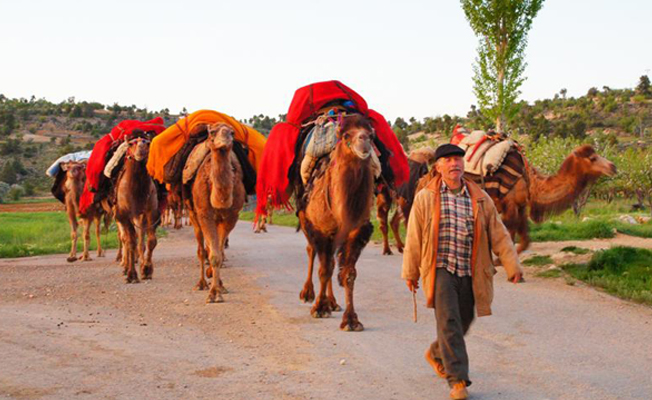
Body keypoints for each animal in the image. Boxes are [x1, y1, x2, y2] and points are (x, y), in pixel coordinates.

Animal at [114, 135, 160, 283]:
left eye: (148, 143)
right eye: (131, 144)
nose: (141, 149)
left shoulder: (150, 212)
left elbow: (150, 241)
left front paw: (146, 270)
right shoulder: (126, 215)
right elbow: (131, 242)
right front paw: (132, 275)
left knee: (139, 241)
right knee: (126, 239)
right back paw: (125, 267)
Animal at [186, 123, 245, 303]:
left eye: (232, 132)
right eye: (212, 132)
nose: (225, 140)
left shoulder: (231, 217)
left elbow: (218, 253)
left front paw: (219, 289)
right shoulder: (205, 214)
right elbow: (213, 254)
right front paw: (212, 294)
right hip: (193, 215)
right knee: (200, 248)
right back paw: (201, 284)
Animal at [298, 115, 375, 332]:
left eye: (371, 134)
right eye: (346, 134)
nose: (364, 140)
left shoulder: (356, 231)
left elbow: (348, 273)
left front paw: (351, 320)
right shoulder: (320, 229)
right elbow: (324, 269)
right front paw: (319, 308)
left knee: (331, 259)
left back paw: (332, 302)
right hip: (306, 220)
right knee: (312, 252)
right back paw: (308, 294)